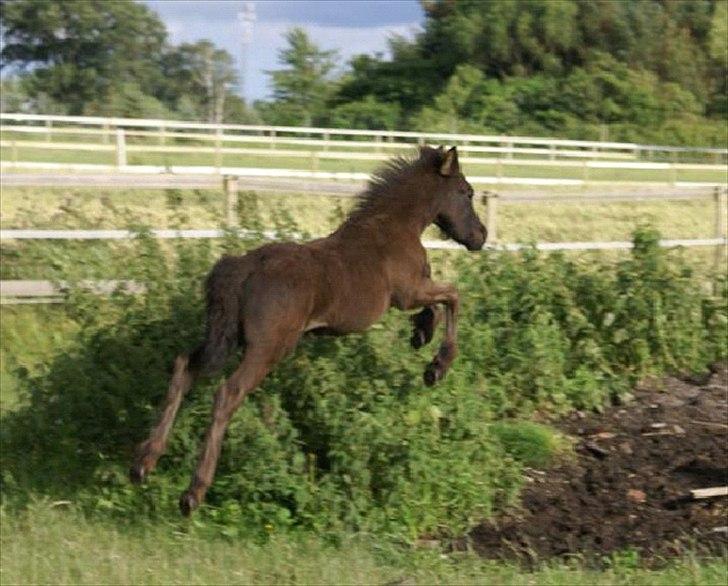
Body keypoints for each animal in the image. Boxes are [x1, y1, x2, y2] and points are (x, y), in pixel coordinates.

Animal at [130, 146, 487, 515]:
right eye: (467, 192)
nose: (481, 236)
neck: (394, 227)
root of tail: (244, 268)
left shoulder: (413, 292)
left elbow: (437, 305)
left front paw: (420, 334)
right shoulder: (408, 292)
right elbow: (453, 296)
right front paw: (436, 368)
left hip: (224, 339)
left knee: (183, 368)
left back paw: (143, 463)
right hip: (267, 348)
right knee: (227, 393)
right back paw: (193, 493)